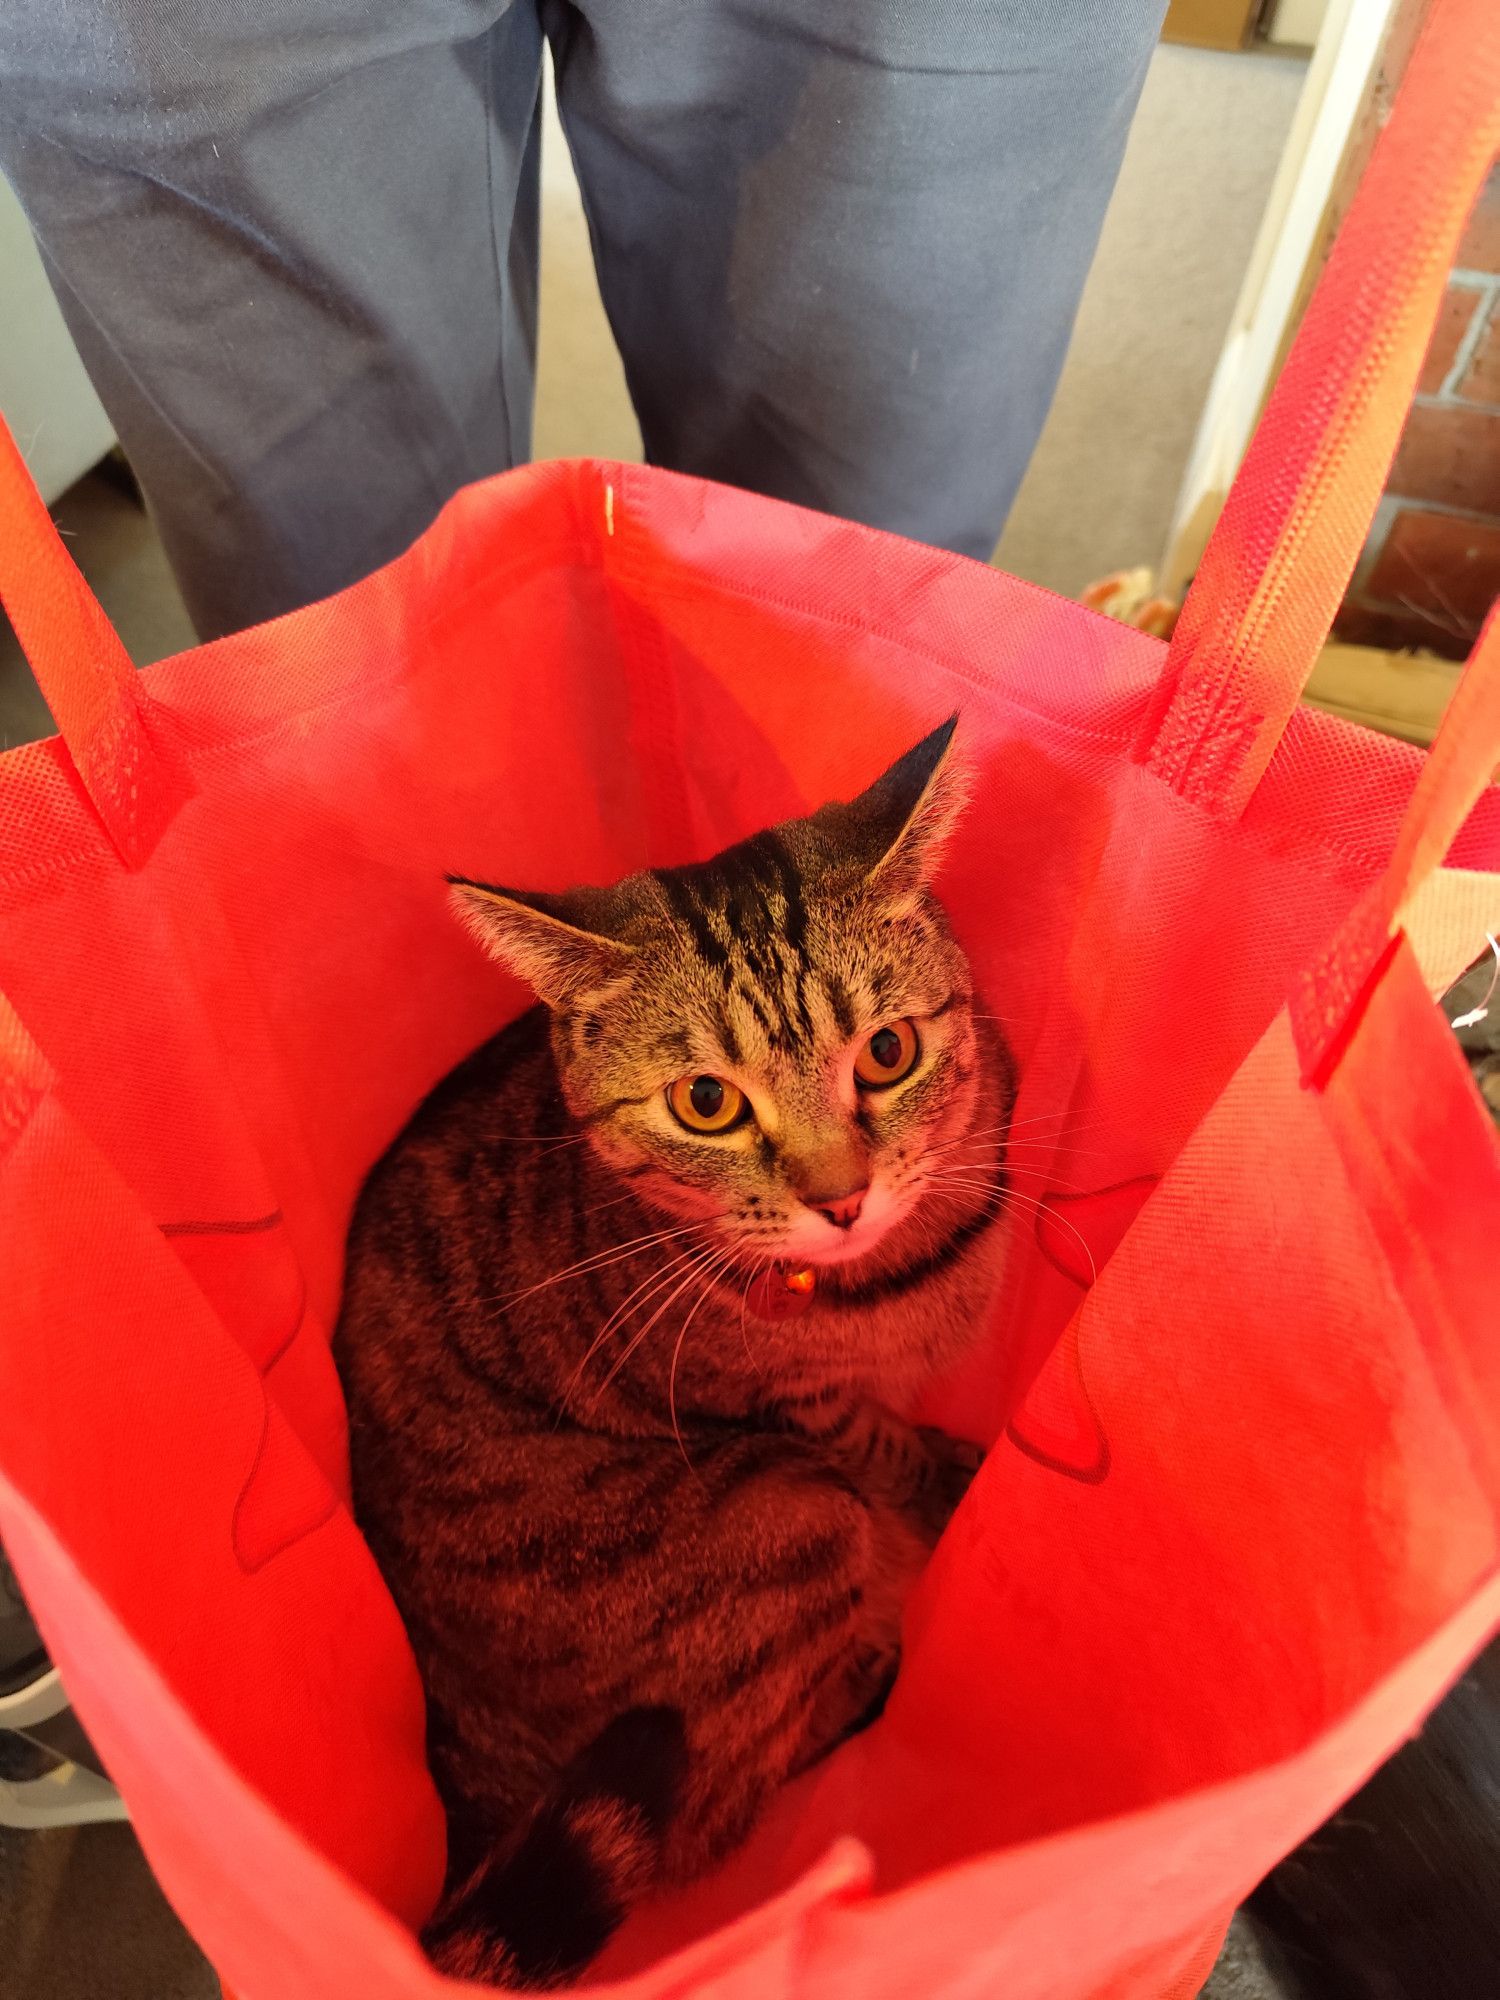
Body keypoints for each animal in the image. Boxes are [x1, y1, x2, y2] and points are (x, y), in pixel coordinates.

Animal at [338, 720, 1024, 1984]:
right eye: (707, 1100)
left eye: (888, 1050)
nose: (841, 1198)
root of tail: (469, 1785)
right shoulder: (797, 1411)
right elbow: (886, 1443)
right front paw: (940, 1476)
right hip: (786, 1520)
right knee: (728, 1796)